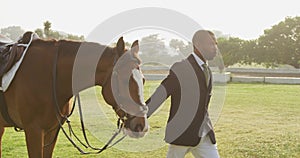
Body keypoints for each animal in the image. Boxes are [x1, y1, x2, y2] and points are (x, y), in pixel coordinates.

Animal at [0, 34, 149, 157]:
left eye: (143, 80)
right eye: (124, 80)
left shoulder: (51, 131)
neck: (49, 76)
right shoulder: (33, 131)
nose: (141, 126)